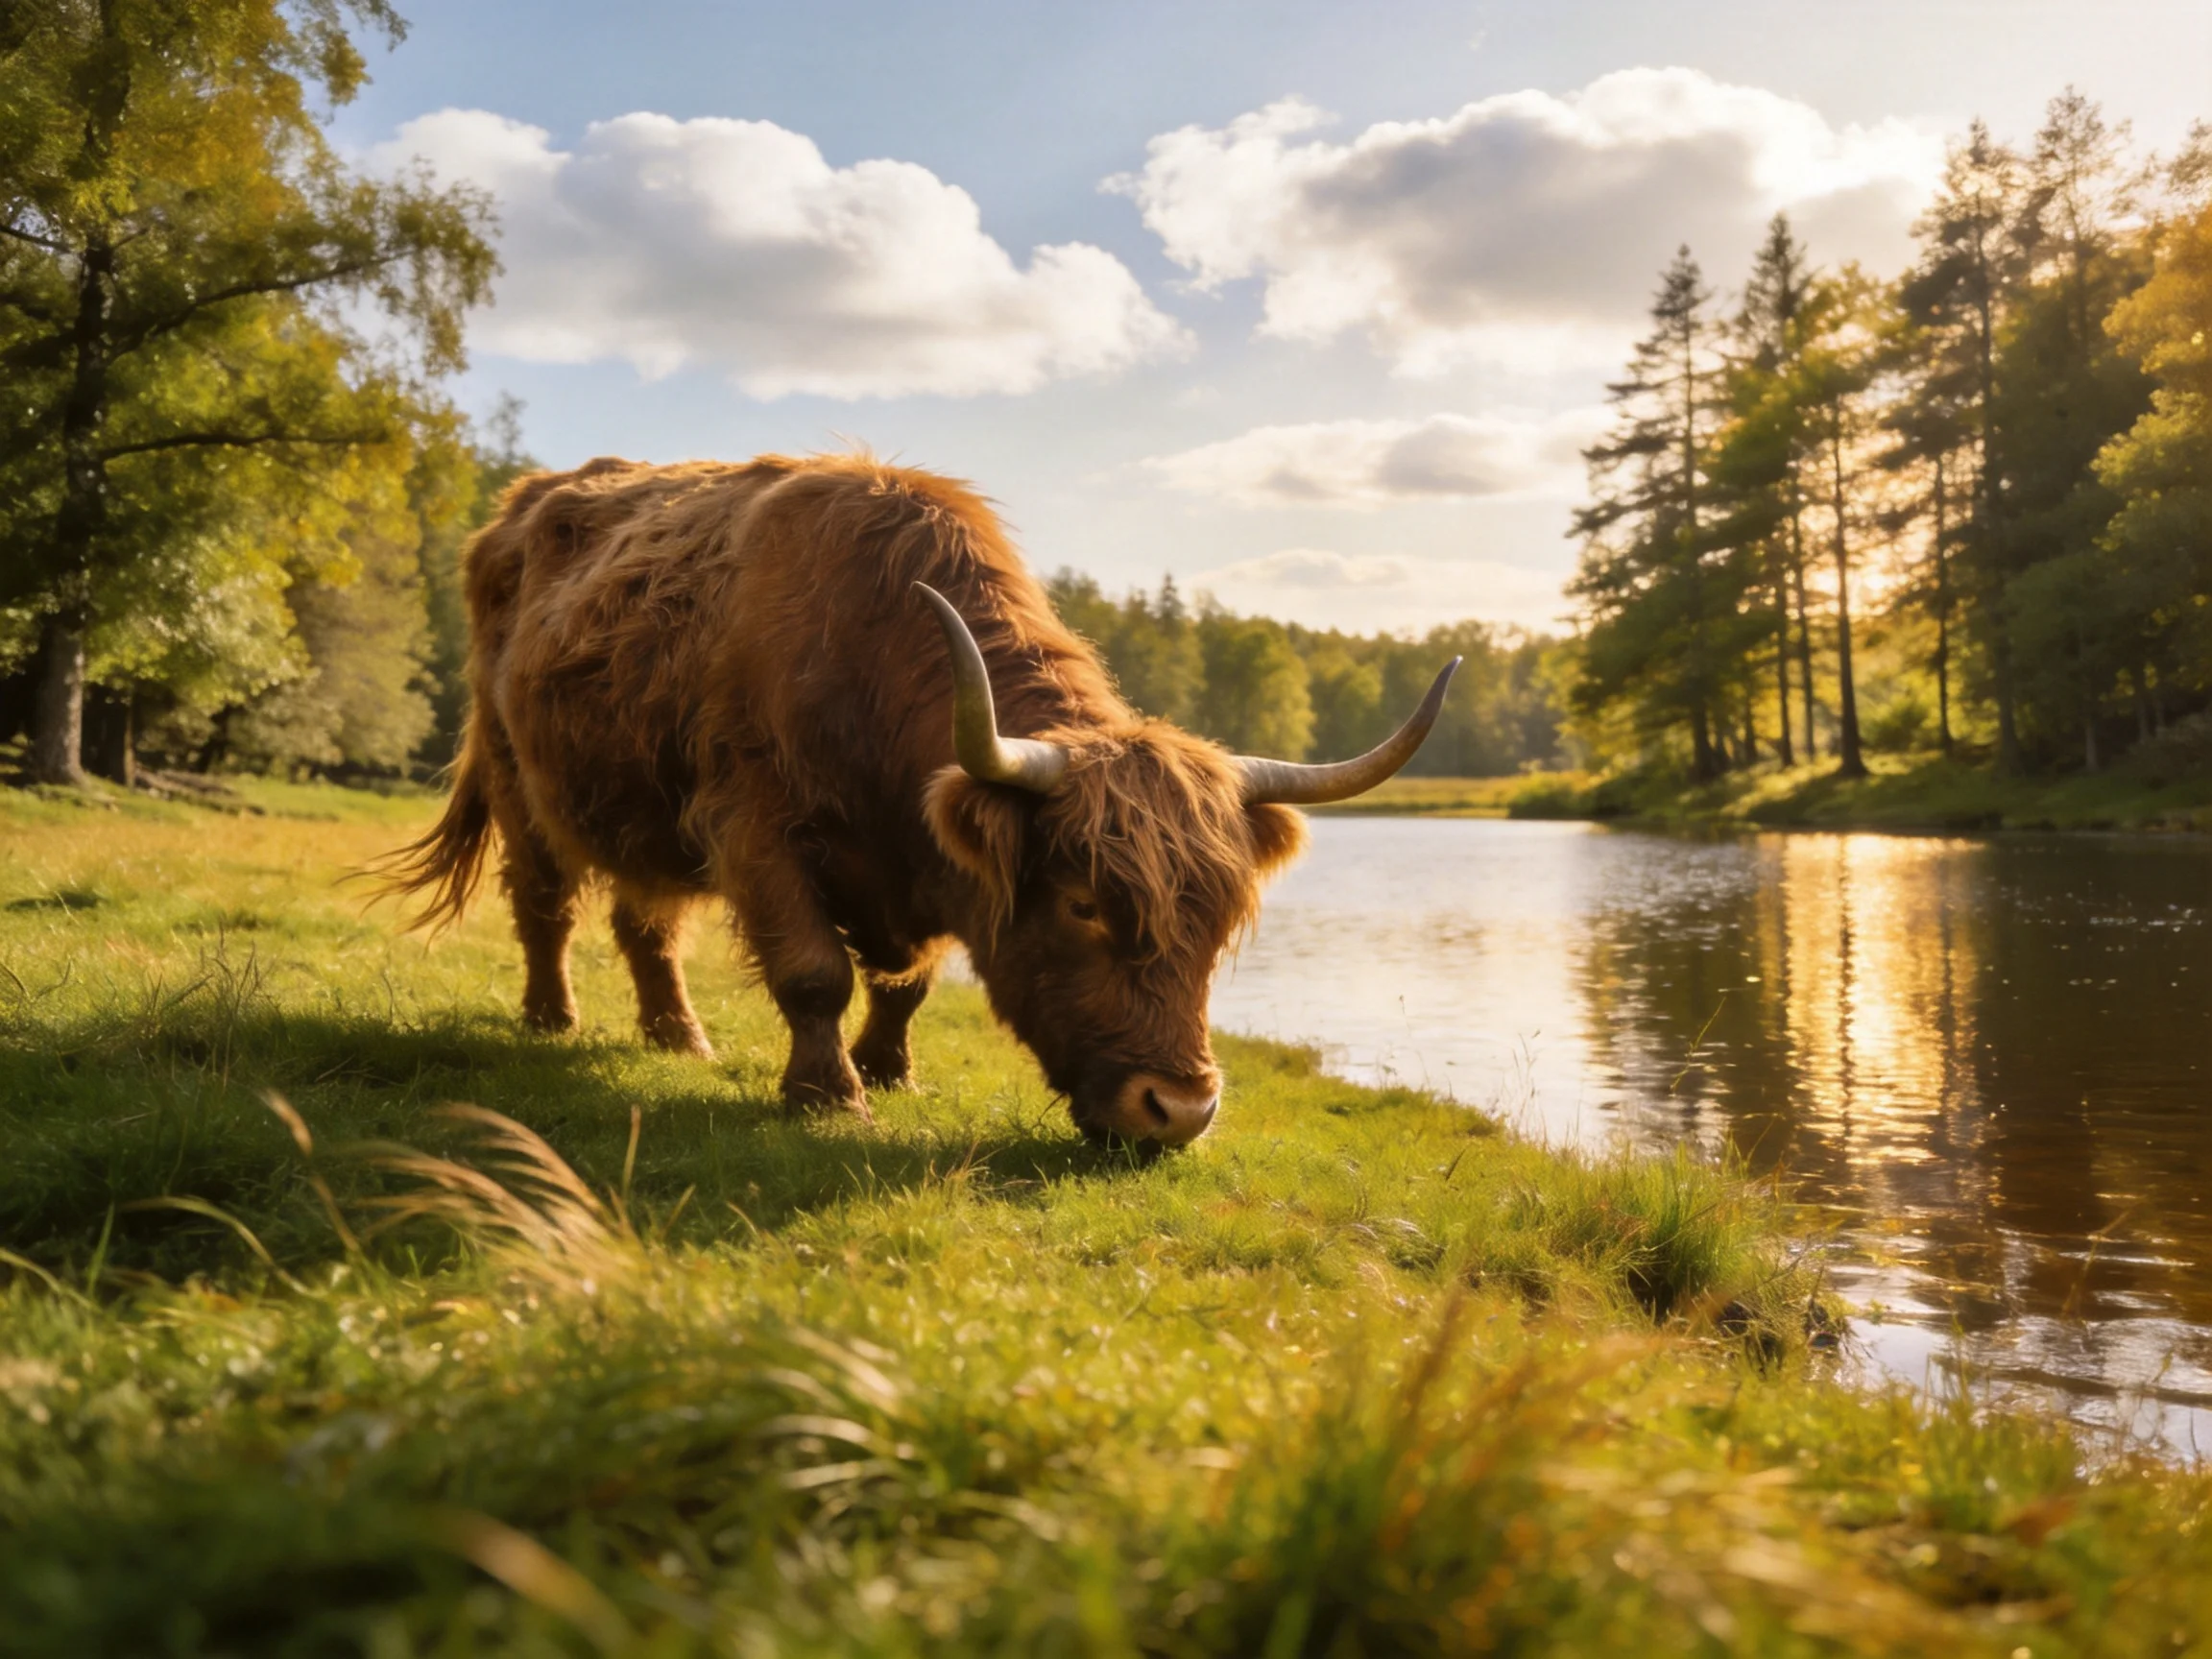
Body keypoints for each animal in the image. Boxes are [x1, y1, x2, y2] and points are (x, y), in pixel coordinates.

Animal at [379, 454, 1456, 1147]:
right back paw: (551, 1019)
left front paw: (892, 1070)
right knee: (546, 905)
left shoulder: (928, 853)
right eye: (1084, 905)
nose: (1180, 1112)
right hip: (519, 776)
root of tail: (520, 506)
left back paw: (677, 1037)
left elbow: (911, 982)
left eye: (1223, 922)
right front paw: (830, 1097)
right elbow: (816, 972)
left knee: (648, 924)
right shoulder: (755, 824)